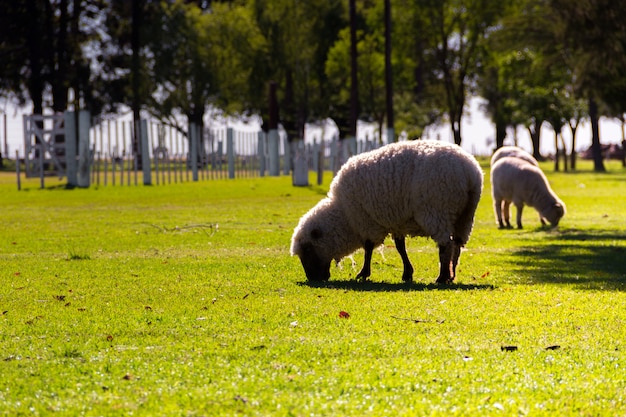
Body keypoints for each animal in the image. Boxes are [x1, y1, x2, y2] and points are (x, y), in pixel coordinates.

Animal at [288, 139, 482, 282]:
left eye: (307, 249)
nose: (312, 278)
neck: (344, 215)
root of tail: (469, 172)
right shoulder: (396, 221)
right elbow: (400, 247)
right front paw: (407, 273)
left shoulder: (366, 220)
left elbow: (368, 248)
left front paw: (363, 273)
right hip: (465, 216)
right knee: (457, 245)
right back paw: (451, 275)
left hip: (437, 210)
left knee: (445, 245)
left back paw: (442, 277)